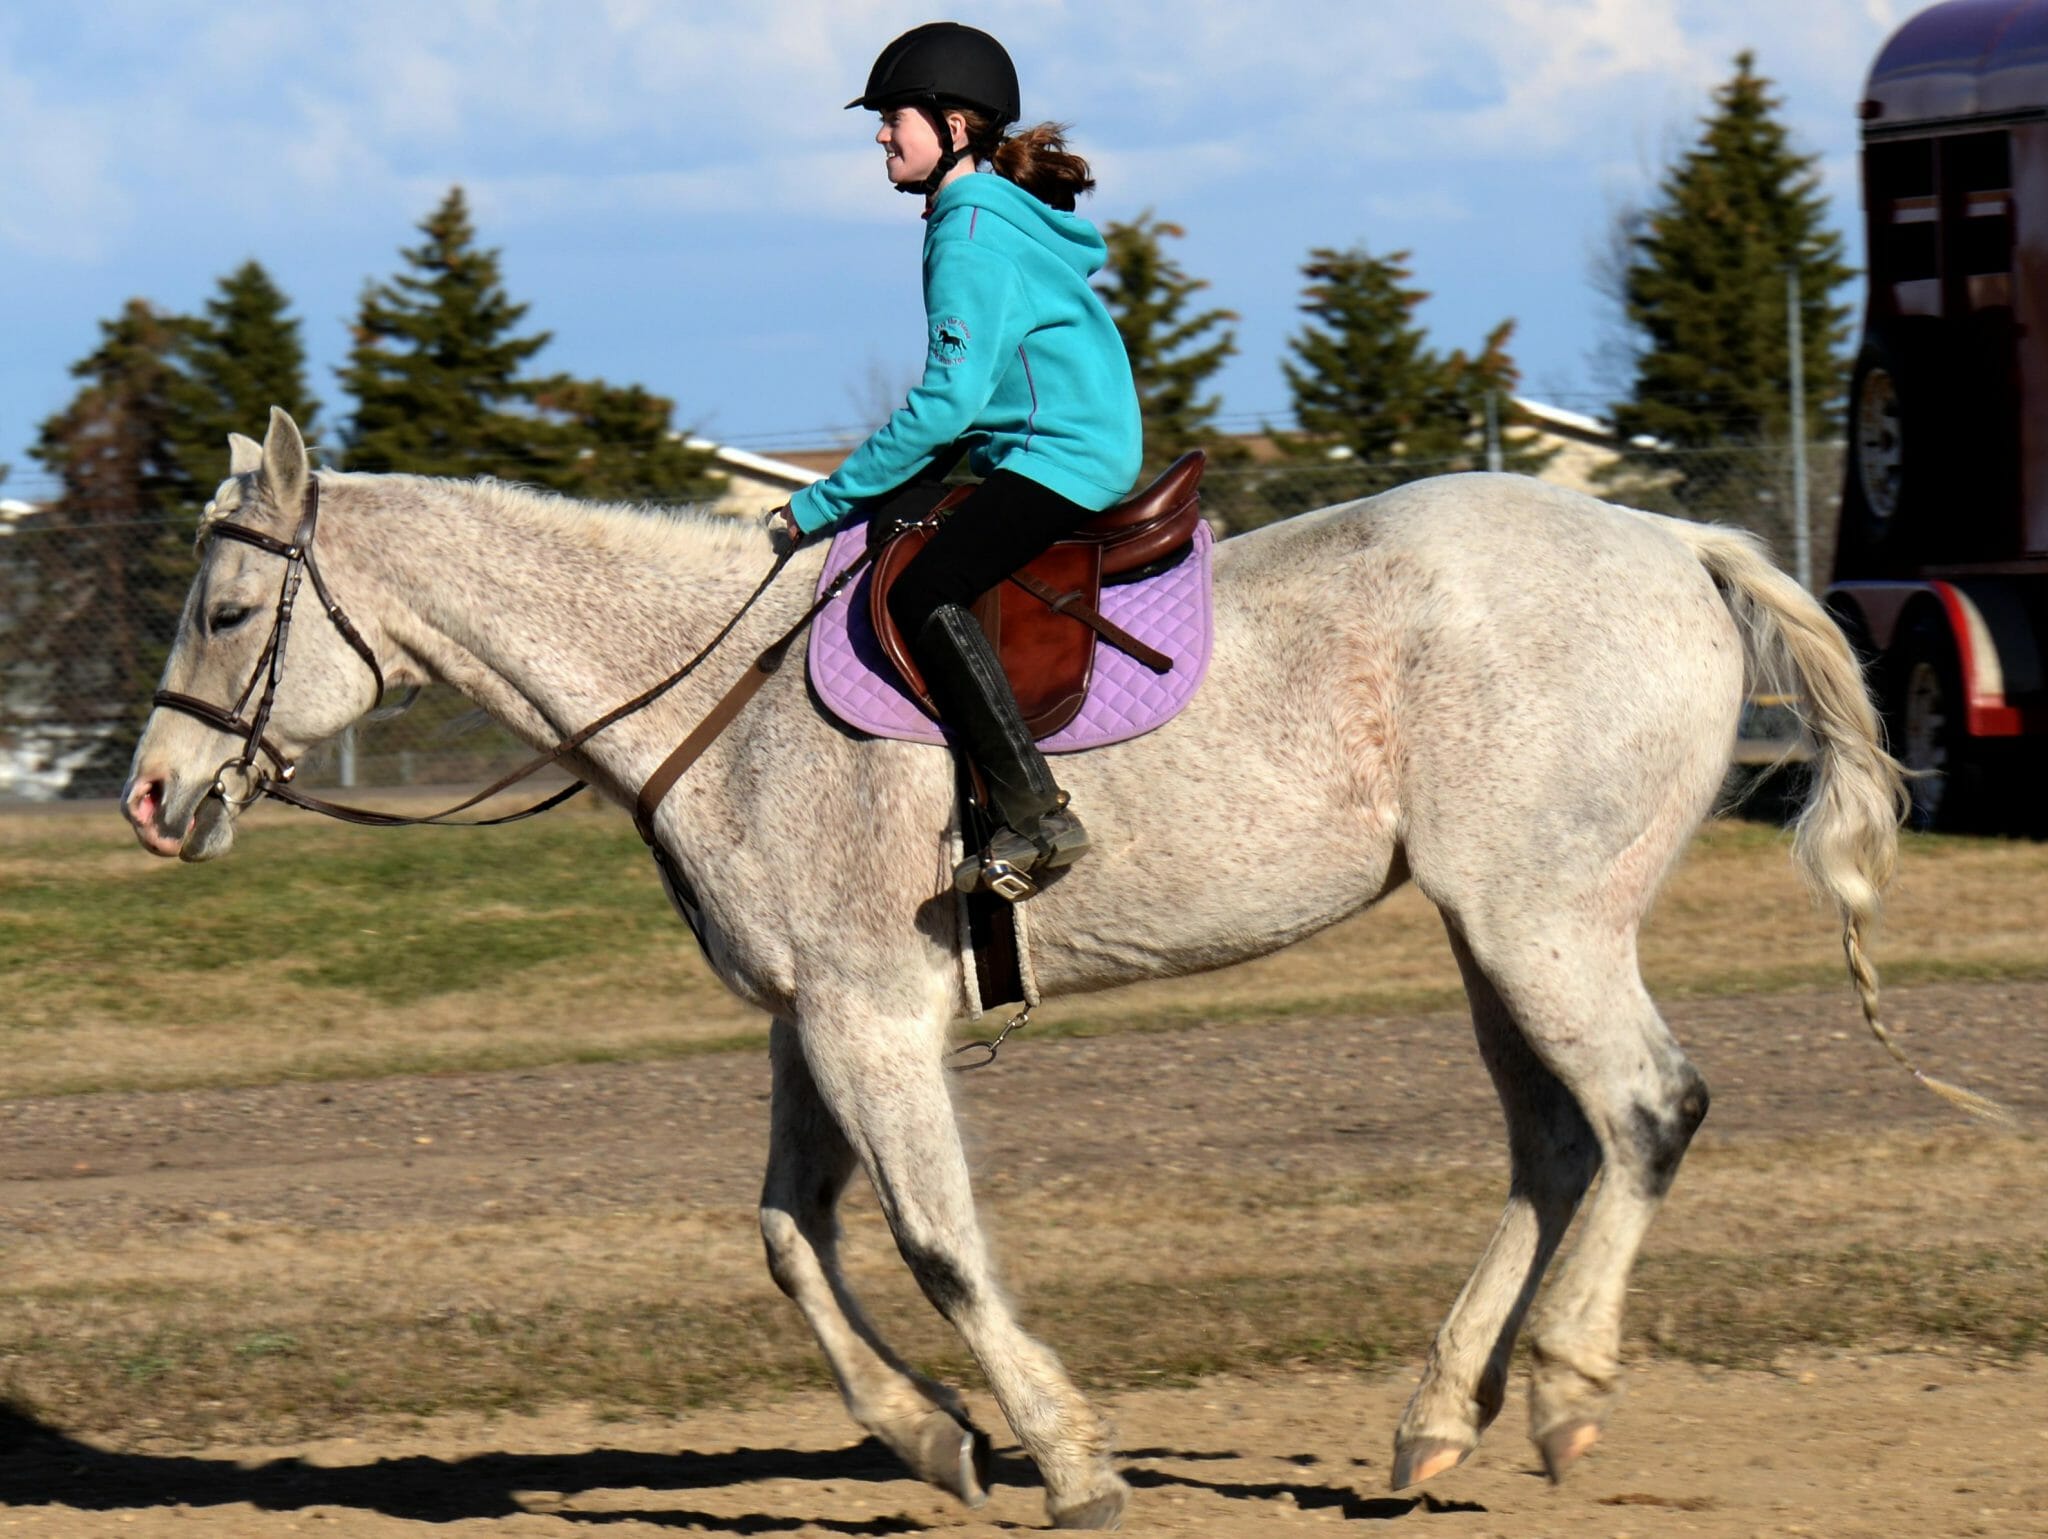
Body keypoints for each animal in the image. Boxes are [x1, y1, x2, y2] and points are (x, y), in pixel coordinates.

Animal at [123, 408, 1914, 1528]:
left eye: (225, 610)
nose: (150, 796)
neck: (718, 696)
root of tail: (1677, 543)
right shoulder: (814, 1021)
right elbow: (789, 1232)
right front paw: (930, 1434)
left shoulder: (872, 1019)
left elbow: (933, 1240)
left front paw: (1062, 1453)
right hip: (1496, 930)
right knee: (1557, 1142)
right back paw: (1432, 1422)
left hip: (1547, 919)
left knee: (1646, 1109)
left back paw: (1555, 1388)